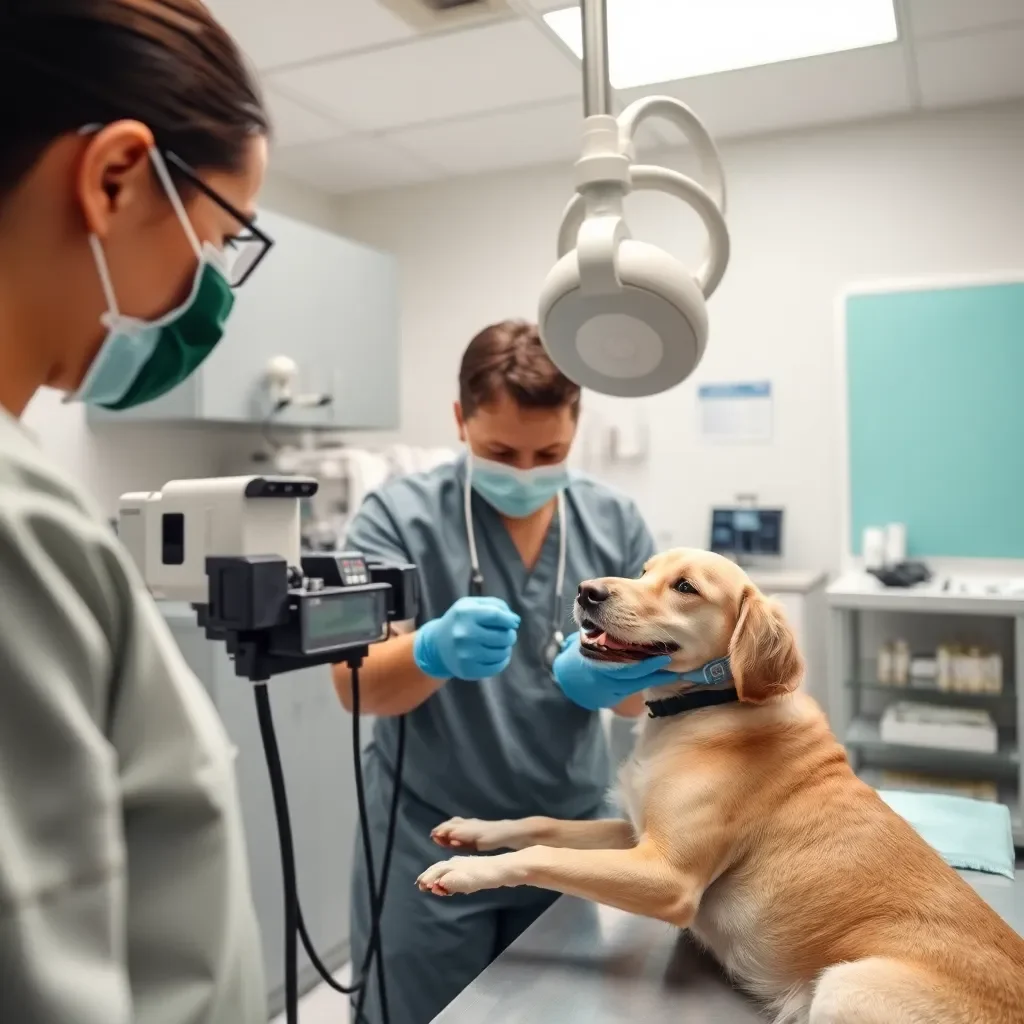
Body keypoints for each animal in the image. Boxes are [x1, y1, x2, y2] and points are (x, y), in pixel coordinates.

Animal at [415, 552, 1024, 1024]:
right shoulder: (633, 833)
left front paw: (464, 872)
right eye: (644, 570)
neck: (703, 708)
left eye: (685, 587)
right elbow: (545, 825)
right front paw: (473, 831)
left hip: (849, 986)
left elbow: (543, 852)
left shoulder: (667, 875)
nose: (587, 591)